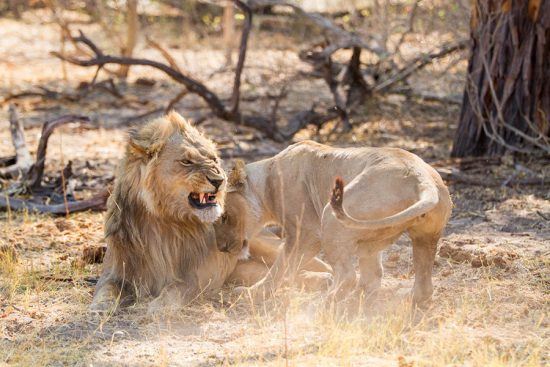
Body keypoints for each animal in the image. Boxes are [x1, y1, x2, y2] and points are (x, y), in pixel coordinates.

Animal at [213, 141, 450, 304]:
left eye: (224, 217)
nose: (222, 248)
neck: (266, 182)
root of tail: (421, 178)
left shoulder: (305, 233)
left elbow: (282, 265)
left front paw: (251, 294)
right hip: (421, 236)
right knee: (397, 280)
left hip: (331, 215)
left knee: (348, 275)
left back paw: (322, 302)